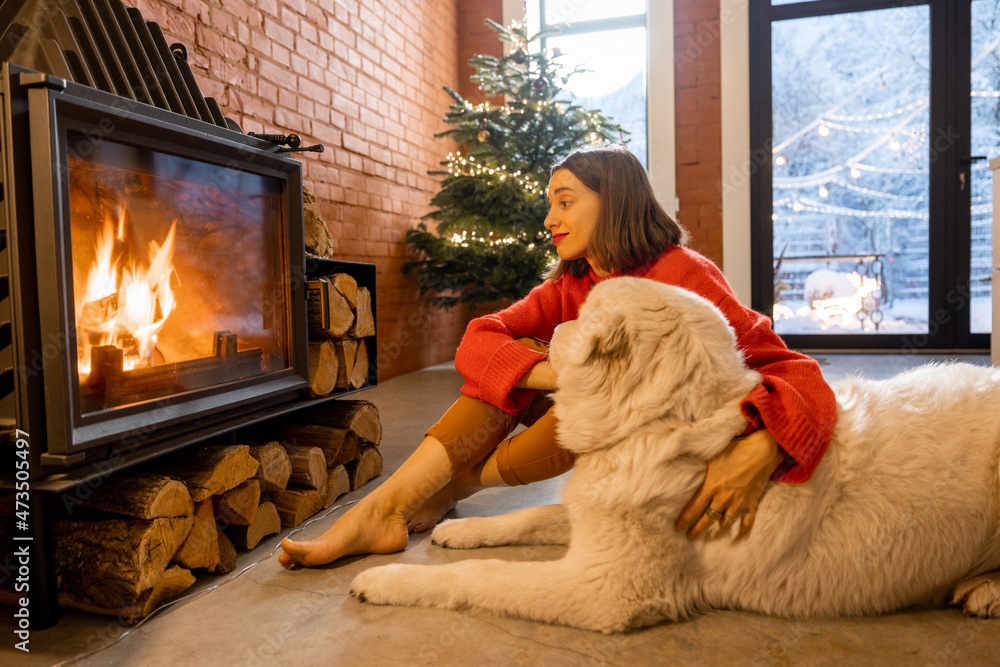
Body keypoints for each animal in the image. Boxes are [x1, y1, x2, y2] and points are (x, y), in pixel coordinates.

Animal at [350, 280, 1000, 636]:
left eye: (580, 316)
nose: (551, 327)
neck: (661, 422)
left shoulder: (605, 588)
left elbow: (481, 576)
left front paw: (385, 579)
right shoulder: (598, 516)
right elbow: (532, 516)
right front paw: (464, 532)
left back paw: (985, 592)